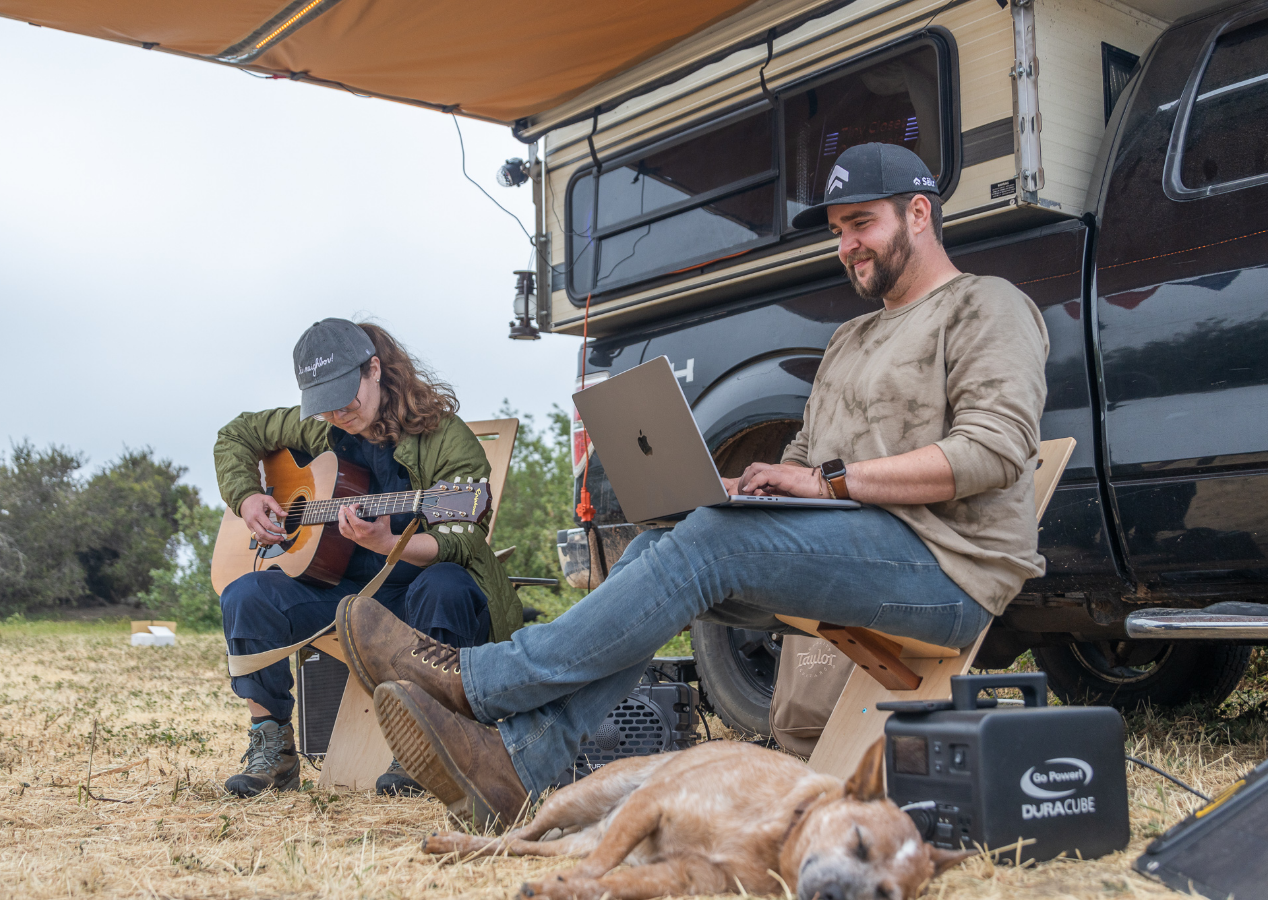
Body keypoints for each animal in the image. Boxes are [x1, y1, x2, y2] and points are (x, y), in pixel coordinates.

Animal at [426, 740, 968, 900]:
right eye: (857, 841)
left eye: (886, 896)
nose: (836, 897)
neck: (776, 836)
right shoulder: (653, 805)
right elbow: (598, 871)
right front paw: (555, 887)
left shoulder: (691, 876)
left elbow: (610, 882)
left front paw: (562, 888)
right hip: (577, 799)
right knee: (521, 832)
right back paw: (452, 841)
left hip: (578, 835)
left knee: (524, 847)